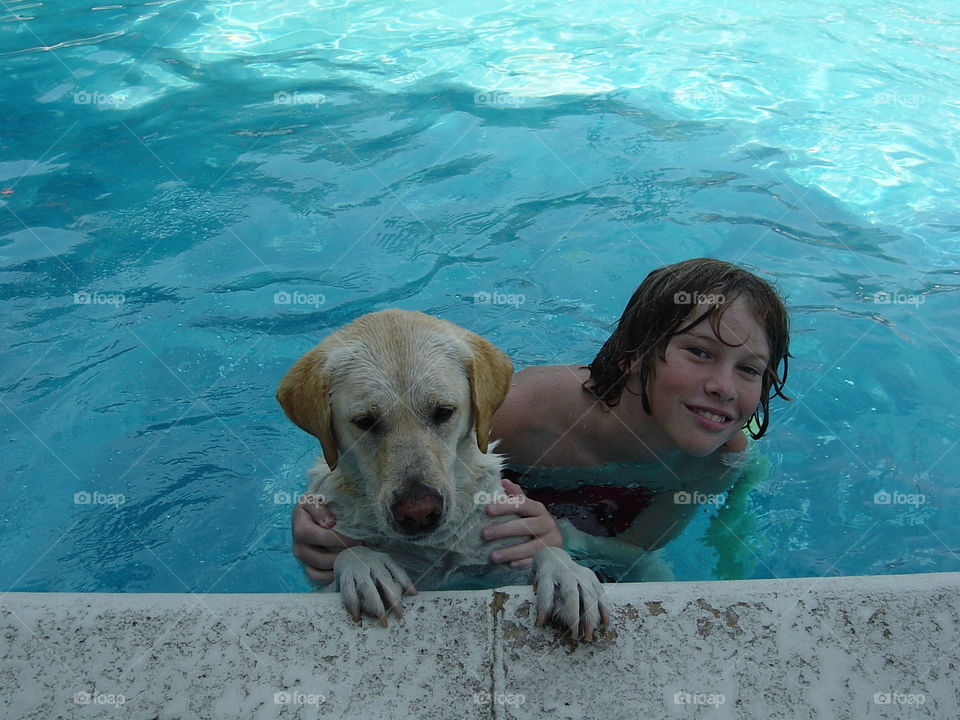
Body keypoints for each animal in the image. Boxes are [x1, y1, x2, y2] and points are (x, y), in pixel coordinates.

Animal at [278, 310, 608, 640]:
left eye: (443, 412)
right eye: (365, 421)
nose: (419, 512)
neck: (433, 547)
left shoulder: (501, 560)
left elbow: (543, 550)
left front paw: (567, 575)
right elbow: (348, 553)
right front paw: (365, 565)